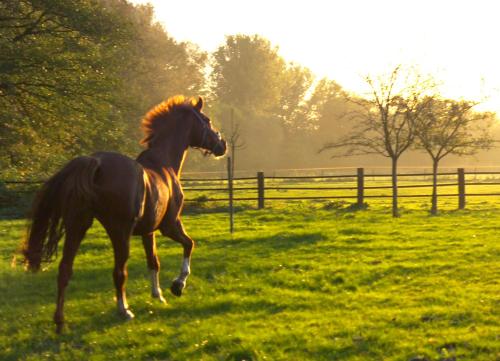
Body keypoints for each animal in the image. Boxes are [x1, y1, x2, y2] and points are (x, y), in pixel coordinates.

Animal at [21, 95, 227, 332]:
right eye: (206, 120)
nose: (222, 145)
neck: (163, 164)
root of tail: (93, 162)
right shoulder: (170, 225)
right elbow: (189, 244)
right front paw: (177, 285)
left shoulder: (149, 231)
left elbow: (153, 261)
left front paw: (158, 295)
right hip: (119, 232)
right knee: (119, 271)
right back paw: (124, 310)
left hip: (77, 226)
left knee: (65, 270)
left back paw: (60, 322)